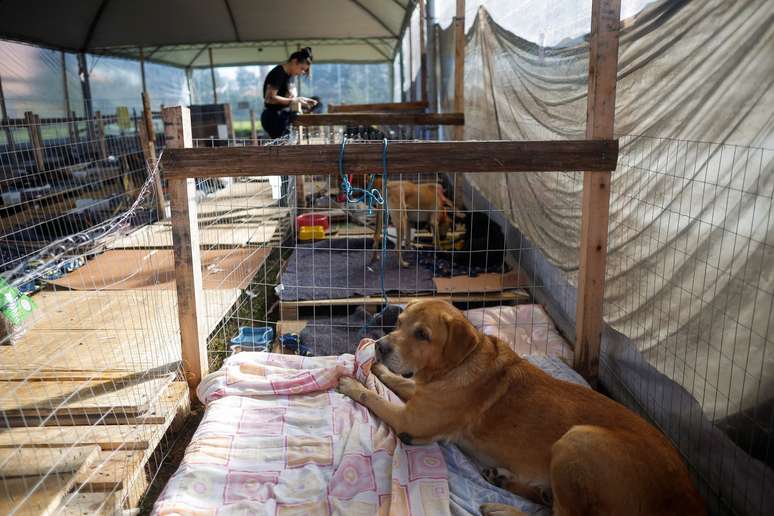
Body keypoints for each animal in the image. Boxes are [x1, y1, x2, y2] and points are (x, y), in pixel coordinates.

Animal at [340, 298, 708, 516]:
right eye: (399, 322)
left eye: (422, 334)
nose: (381, 346)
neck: (458, 364)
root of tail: (689, 497)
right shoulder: (420, 398)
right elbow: (395, 381)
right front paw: (376, 368)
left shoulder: (413, 421)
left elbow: (374, 397)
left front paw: (351, 384)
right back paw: (508, 482)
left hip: (578, 439)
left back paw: (501, 508)